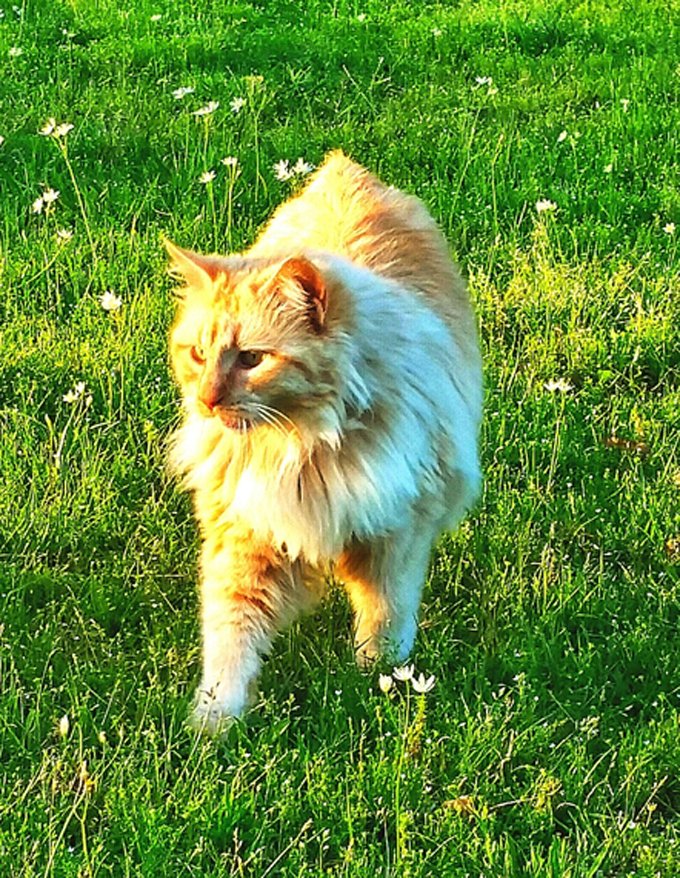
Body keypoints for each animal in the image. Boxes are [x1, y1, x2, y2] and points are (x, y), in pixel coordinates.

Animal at [166, 151, 484, 736]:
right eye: (198, 354)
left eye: (251, 359)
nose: (207, 401)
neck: (303, 447)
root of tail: (344, 168)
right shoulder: (247, 532)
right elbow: (230, 638)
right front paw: (213, 722)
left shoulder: (396, 532)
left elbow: (385, 616)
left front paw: (378, 681)